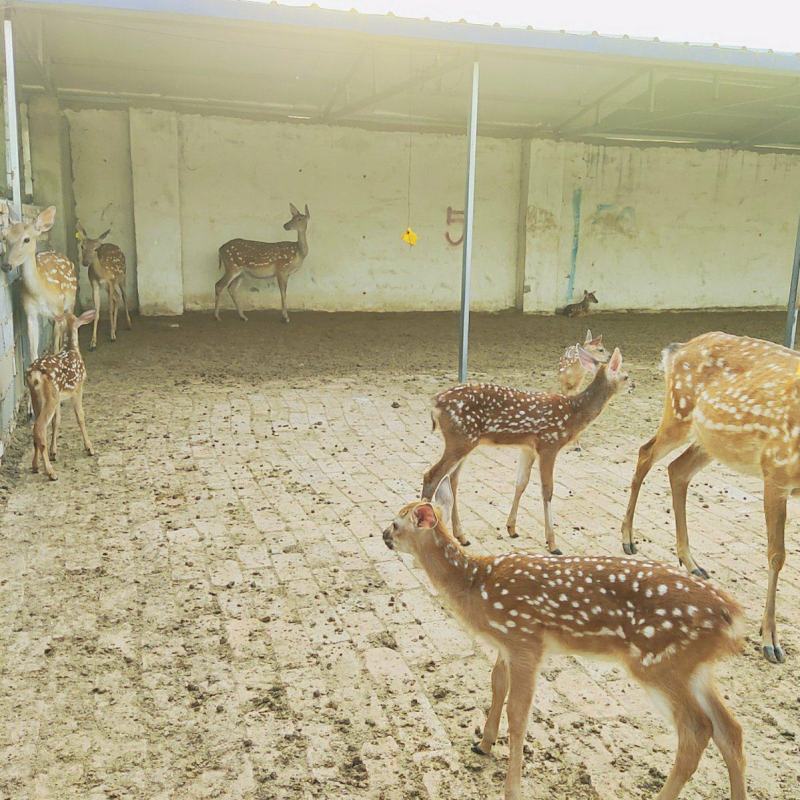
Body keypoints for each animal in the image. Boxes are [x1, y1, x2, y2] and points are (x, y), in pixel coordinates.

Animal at [1, 205, 77, 361]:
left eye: (27, 239)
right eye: (5, 237)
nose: (6, 265)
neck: (40, 292)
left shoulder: (58, 309)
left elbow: (56, 346)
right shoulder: (30, 312)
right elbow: (33, 352)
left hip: (71, 301)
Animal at [26, 310, 97, 481]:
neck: (71, 349)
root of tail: (35, 374)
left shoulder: (60, 398)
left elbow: (56, 422)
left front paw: (54, 452)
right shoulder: (77, 388)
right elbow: (80, 417)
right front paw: (89, 448)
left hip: (38, 398)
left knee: (36, 428)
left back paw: (35, 466)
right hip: (50, 397)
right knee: (39, 428)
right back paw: (51, 472)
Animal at [383, 477, 747, 800]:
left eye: (397, 523)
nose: (384, 535)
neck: (477, 587)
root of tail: (731, 615)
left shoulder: (525, 640)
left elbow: (519, 714)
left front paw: (511, 789)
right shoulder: (506, 644)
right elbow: (497, 684)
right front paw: (484, 744)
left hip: (658, 662)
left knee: (697, 730)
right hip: (692, 668)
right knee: (730, 730)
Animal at [422, 348, 630, 553]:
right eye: (626, 375)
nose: (633, 385)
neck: (573, 414)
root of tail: (435, 403)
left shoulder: (528, 448)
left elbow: (521, 483)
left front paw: (511, 528)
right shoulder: (549, 444)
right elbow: (548, 490)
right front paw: (552, 543)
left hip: (466, 442)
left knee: (452, 479)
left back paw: (462, 536)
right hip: (459, 439)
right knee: (432, 476)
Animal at [622, 331, 800, 664]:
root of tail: (676, 350)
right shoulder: (775, 470)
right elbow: (777, 555)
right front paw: (770, 639)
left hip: (710, 440)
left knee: (677, 469)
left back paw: (691, 562)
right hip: (679, 412)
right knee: (645, 452)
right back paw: (627, 538)